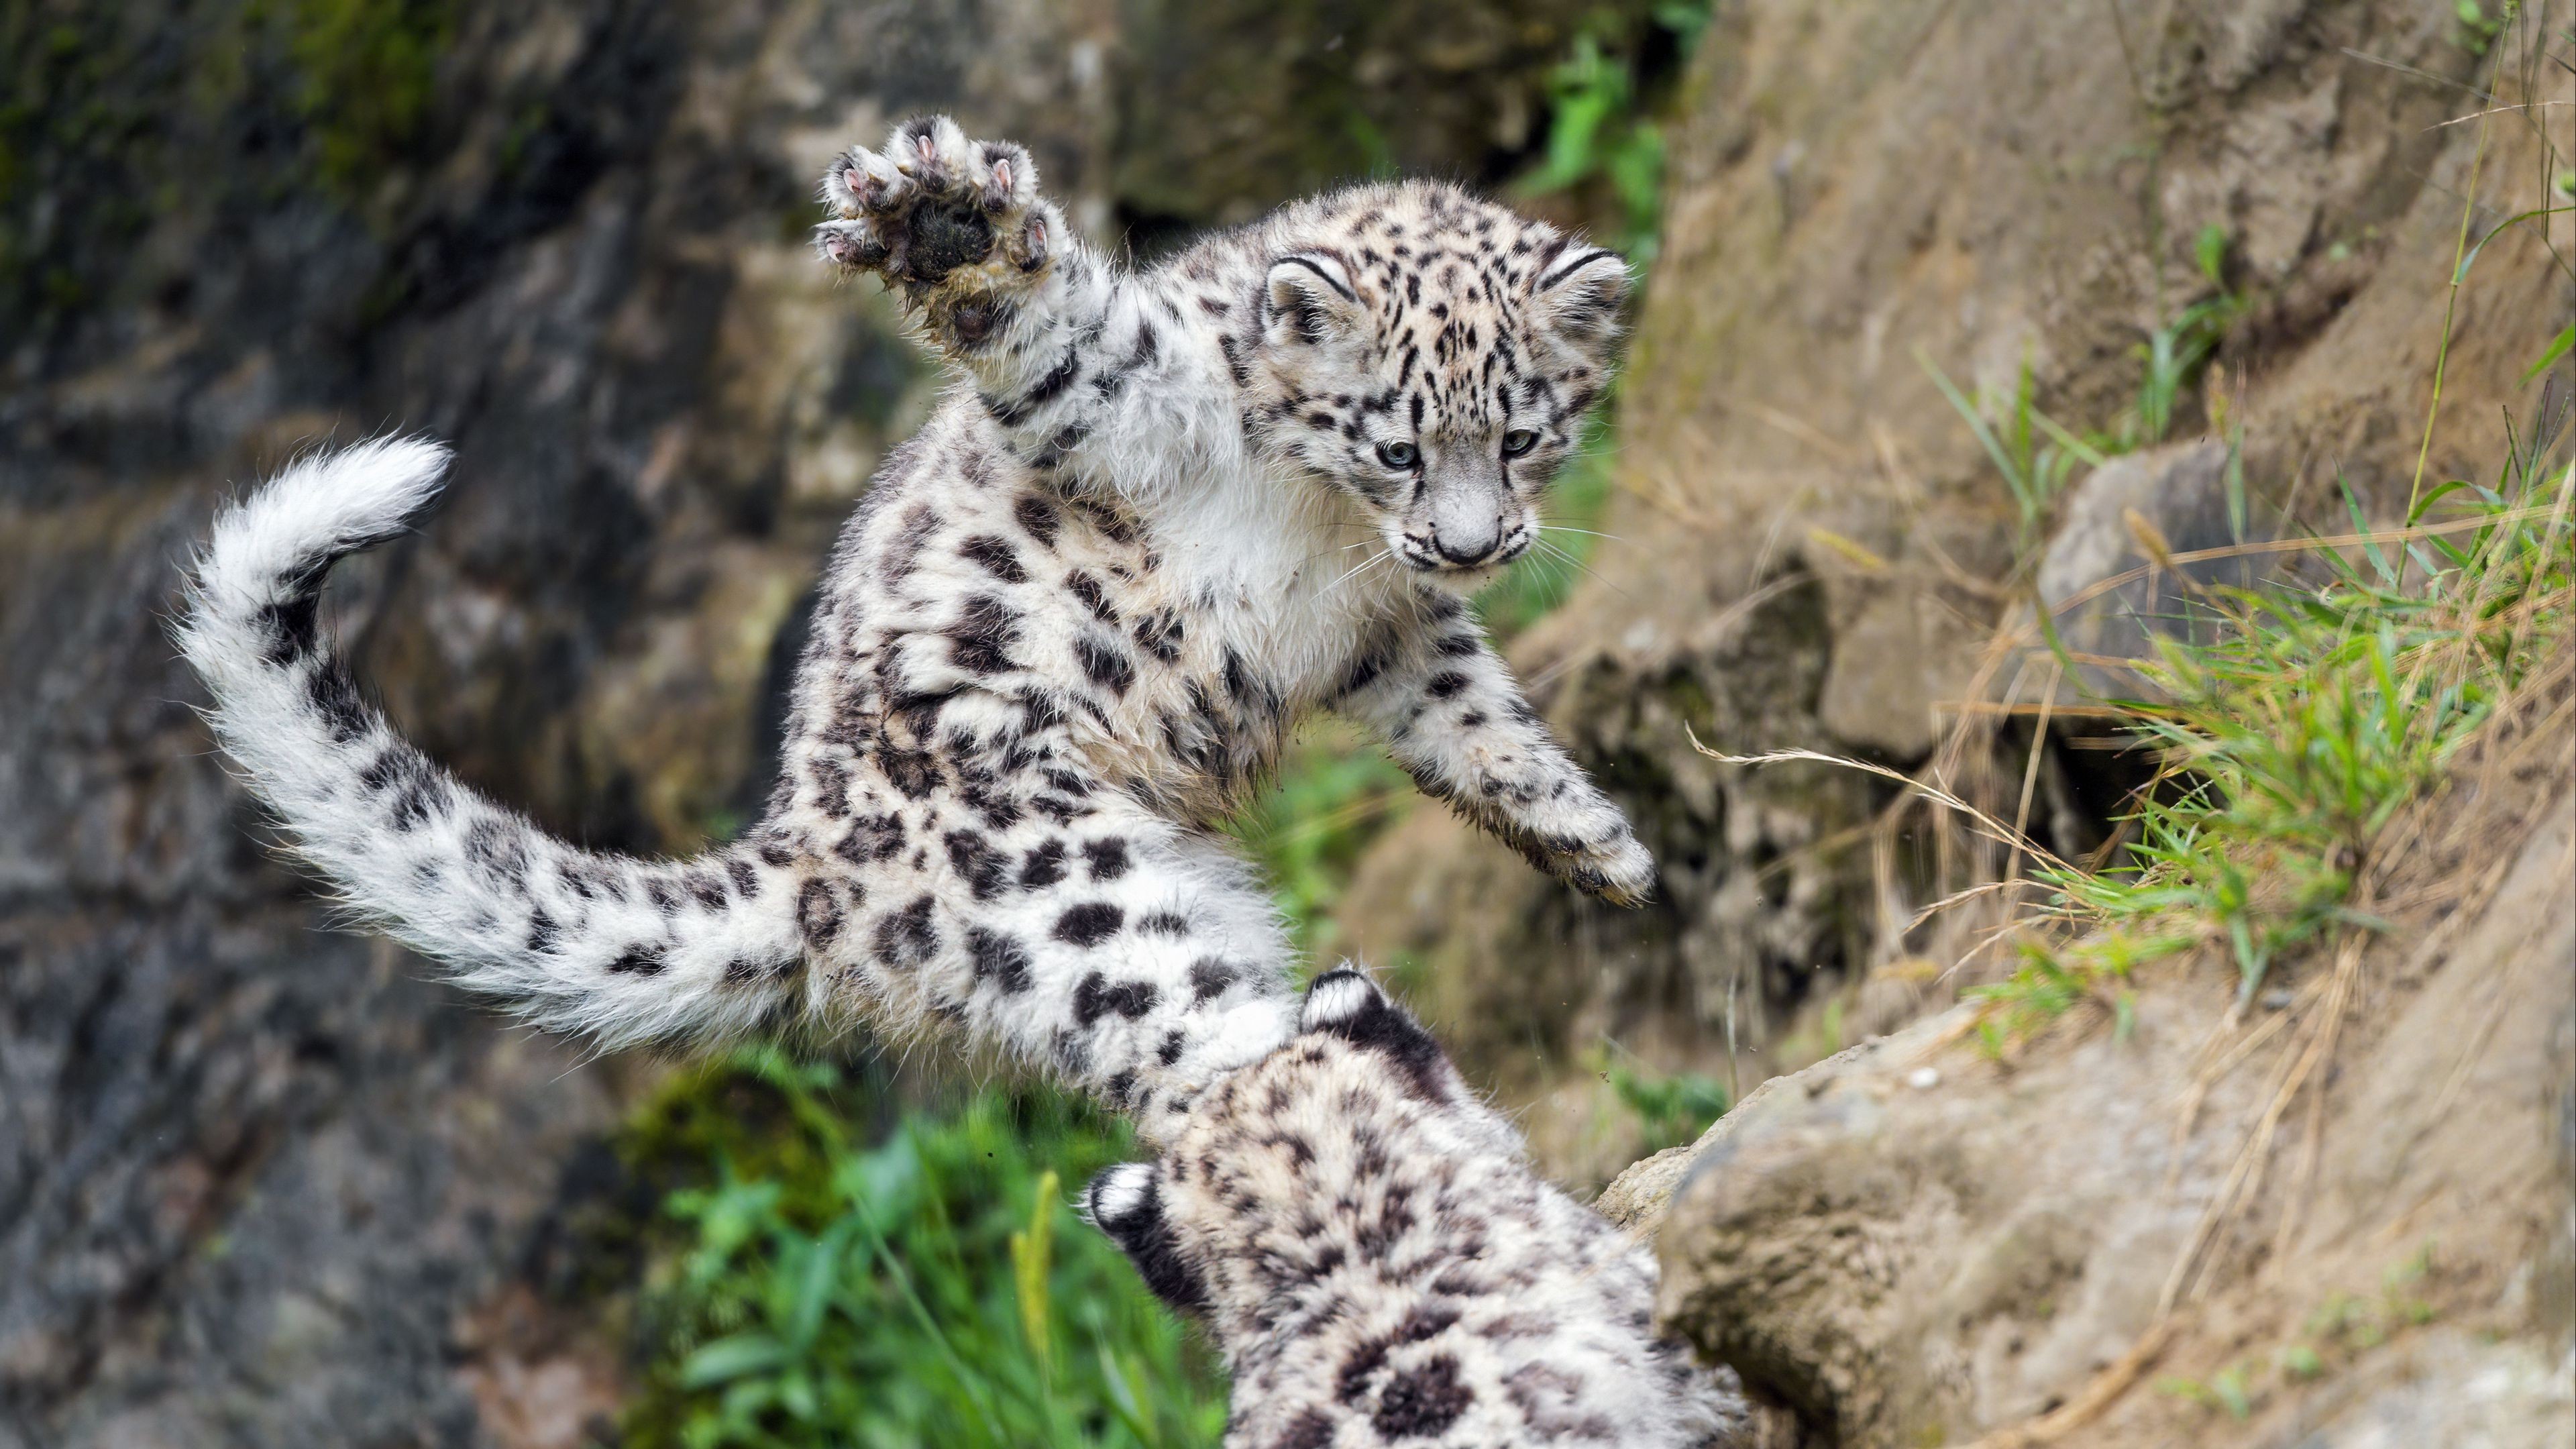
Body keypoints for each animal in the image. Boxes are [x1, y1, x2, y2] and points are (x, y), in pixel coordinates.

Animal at [179, 114, 1654, 1139]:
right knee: (1216, 1080)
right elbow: (1064, 341)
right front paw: (952, 222)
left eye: (1522, 437)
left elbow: (1468, 712)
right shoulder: (1132, 414)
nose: (1472, 544)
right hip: (1083, 918)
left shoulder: (1385, 631)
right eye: (1397, 445)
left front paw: (1593, 841)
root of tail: (811, 861)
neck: (1333, 534)